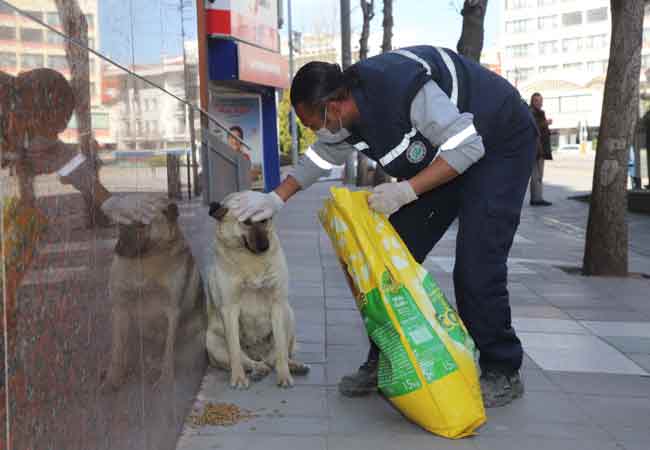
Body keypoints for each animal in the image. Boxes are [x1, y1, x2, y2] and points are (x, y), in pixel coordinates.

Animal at [102, 199, 202, 392]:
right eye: (121, 225)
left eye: (142, 225)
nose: (118, 249)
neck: (146, 261)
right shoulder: (120, 309)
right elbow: (117, 350)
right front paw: (113, 380)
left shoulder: (172, 311)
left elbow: (168, 352)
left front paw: (165, 381)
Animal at [208, 195, 308, 388]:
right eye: (246, 222)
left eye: (264, 220)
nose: (264, 247)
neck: (251, 261)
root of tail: (259, 355)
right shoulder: (230, 309)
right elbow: (235, 351)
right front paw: (238, 378)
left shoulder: (277, 305)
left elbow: (281, 350)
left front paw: (284, 376)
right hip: (212, 341)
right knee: (249, 360)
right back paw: (257, 369)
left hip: (289, 316)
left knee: (275, 357)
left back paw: (292, 365)